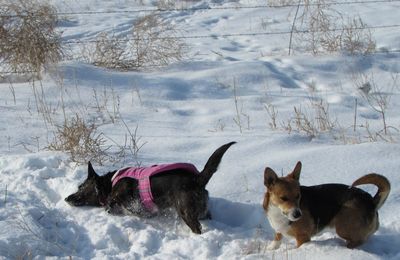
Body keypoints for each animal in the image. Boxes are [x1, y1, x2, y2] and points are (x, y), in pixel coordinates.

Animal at [65, 142, 234, 234]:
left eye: (81, 187)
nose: (67, 198)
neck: (110, 183)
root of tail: (197, 178)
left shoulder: (127, 201)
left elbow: (111, 206)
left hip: (186, 211)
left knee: (196, 228)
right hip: (202, 210)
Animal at [262, 161, 390, 249]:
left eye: (298, 196)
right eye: (283, 198)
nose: (298, 214)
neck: (279, 213)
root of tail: (371, 200)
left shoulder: (303, 238)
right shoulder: (279, 230)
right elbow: (277, 238)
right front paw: (271, 248)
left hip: (342, 227)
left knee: (358, 241)